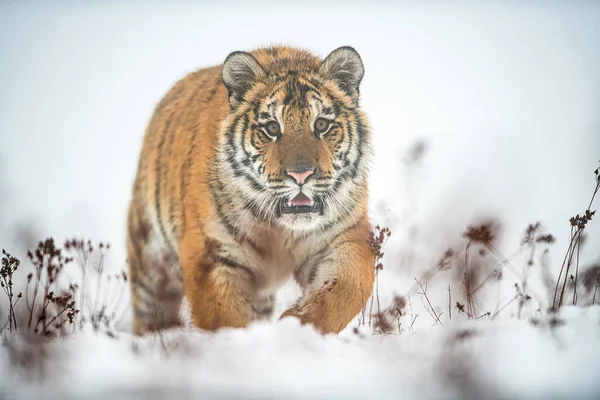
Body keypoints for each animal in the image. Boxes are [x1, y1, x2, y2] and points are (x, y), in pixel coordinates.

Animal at [127, 45, 376, 336]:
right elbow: (225, 318)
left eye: (322, 125)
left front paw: (294, 326)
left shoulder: (345, 237)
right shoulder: (212, 254)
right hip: (149, 264)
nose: (300, 174)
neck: (282, 231)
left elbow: (347, 290)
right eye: (272, 128)